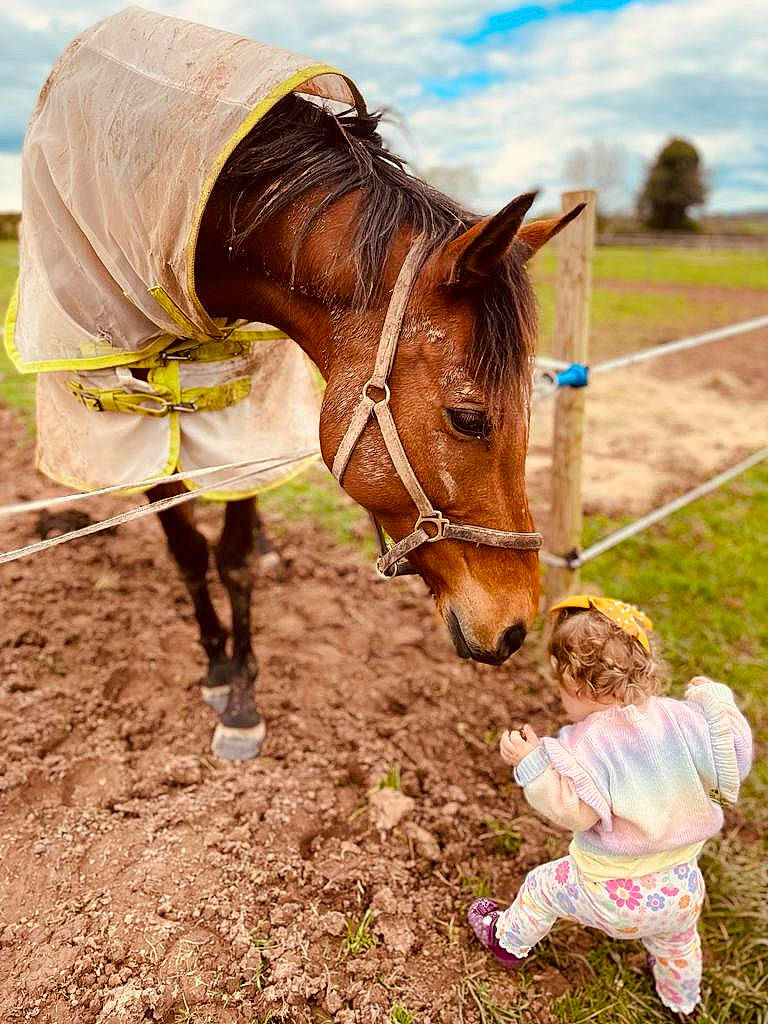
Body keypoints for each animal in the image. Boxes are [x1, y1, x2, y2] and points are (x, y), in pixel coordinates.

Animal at [146, 93, 583, 760]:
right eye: (469, 418)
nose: (516, 627)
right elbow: (192, 552)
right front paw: (224, 675)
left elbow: (234, 554)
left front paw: (239, 690)